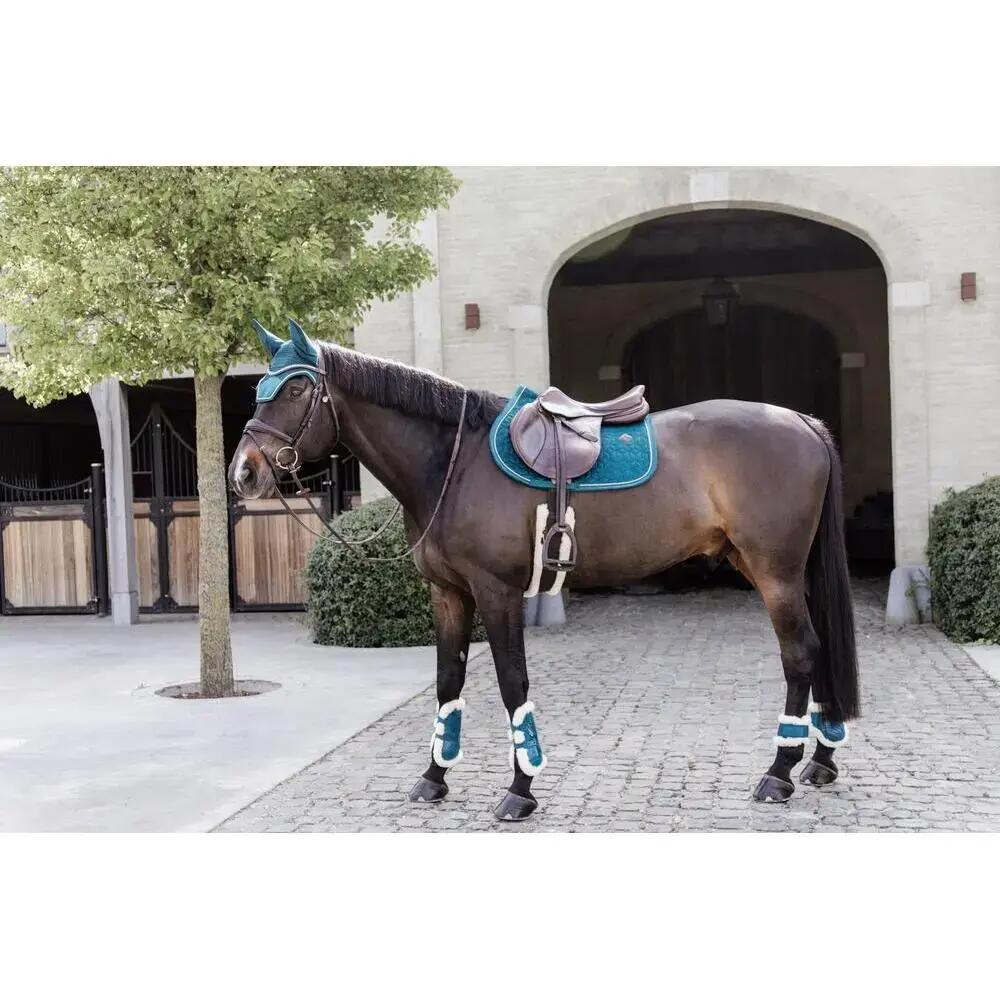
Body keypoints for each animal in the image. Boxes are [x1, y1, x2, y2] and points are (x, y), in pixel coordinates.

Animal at [229, 319, 860, 822]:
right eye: (258, 389)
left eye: (296, 387)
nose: (244, 473)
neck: (453, 464)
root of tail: (801, 422)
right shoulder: (447, 594)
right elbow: (448, 681)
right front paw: (434, 778)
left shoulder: (497, 592)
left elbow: (513, 682)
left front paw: (520, 788)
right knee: (819, 647)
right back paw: (820, 761)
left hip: (775, 573)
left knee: (800, 652)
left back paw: (779, 773)